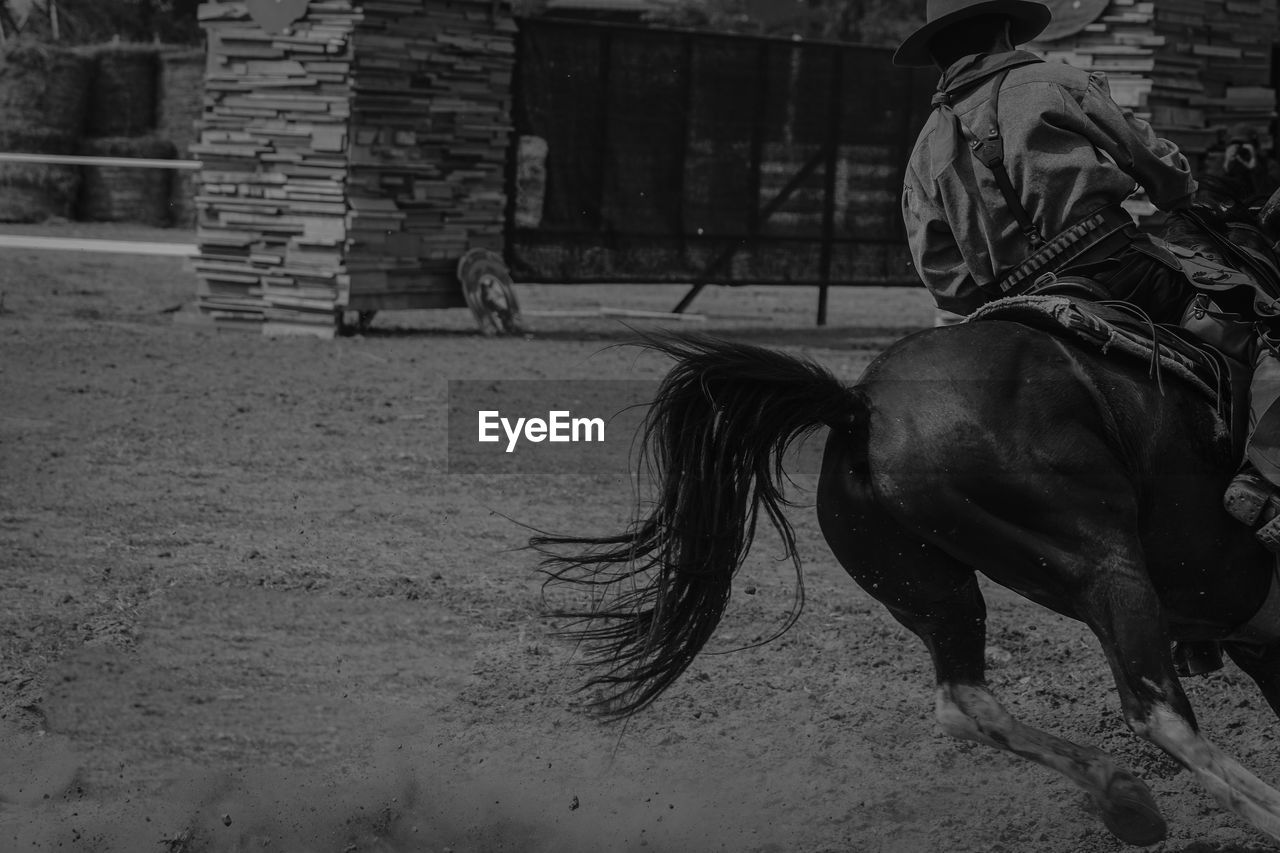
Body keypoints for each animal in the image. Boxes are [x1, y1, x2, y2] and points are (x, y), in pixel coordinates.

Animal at [537, 252, 1280, 845]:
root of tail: (862, 406)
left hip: (930, 591)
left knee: (964, 700)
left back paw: (1122, 796)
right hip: (1101, 558)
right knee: (1156, 708)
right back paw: (1258, 813)